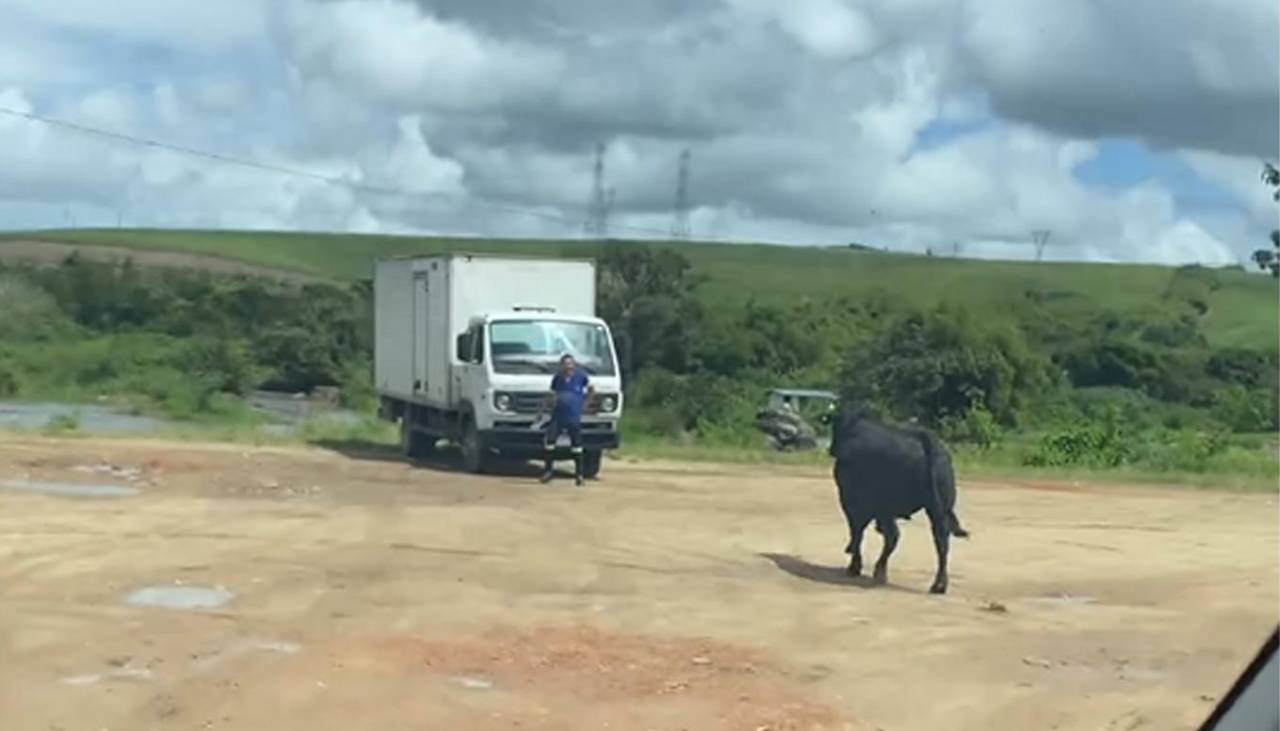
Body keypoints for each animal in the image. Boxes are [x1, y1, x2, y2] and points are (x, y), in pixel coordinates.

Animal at [824, 409, 962, 596]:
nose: (831, 449)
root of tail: (928, 441)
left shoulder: (851, 501)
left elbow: (857, 531)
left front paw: (854, 564)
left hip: (885, 504)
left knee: (892, 536)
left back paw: (879, 573)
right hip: (937, 509)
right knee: (941, 541)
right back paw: (939, 585)